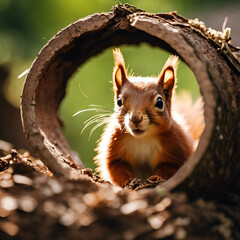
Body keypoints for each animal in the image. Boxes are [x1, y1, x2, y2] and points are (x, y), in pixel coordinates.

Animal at [94, 48, 204, 188]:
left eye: (159, 102)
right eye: (119, 101)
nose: (135, 118)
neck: (143, 138)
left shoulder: (176, 147)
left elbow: (170, 168)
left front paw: (157, 177)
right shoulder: (114, 146)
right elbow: (115, 168)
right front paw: (127, 180)